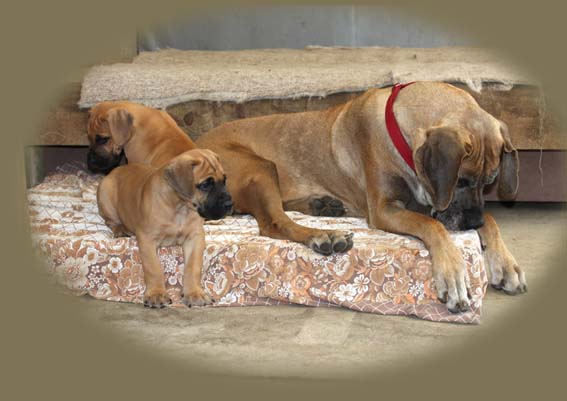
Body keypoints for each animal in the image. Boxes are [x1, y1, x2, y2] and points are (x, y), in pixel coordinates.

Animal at [96, 149, 233, 308]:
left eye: (224, 180)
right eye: (205, 185)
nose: (230, 204)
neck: (180, 207)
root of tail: (115, 170)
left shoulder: (195, 237)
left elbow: (193, 267)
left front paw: (194, 293)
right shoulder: (147, 238)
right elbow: (153, 267)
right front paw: (156, 294)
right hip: (105, 195)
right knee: (111, 220)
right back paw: (120, 229)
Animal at [194, 81, 527, 313]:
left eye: (490, 181)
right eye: (462, 180)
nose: (472, 221)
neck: (399, 130)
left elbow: (491, 219)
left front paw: (506, 265)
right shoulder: (384, 208)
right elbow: (433, 225)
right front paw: (453, 275)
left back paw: (322, 205)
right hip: (259, 167)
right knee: (272, 223)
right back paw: (324, 235)